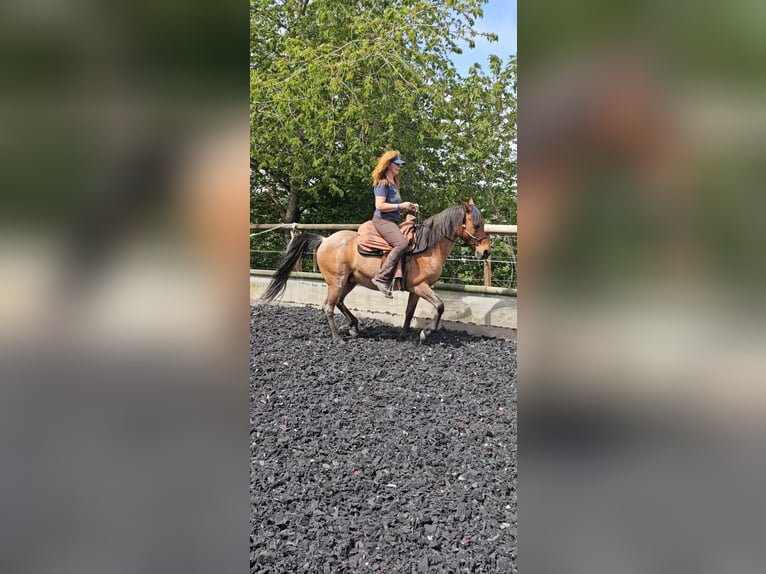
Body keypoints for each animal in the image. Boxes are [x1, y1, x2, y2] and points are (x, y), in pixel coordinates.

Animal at [260, 200, 491, 342]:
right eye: (476, 225)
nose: (486, 251)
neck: (427, 246)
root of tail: (325, 240)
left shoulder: (415, 289)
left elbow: (409, 312)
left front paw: (404, 334)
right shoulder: (421, 286)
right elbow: (441, 306)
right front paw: (426, 333)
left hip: (349, 281)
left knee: (339, 303)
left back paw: (354, 326)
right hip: (336, 281)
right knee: (328, 307)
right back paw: (337, 338)